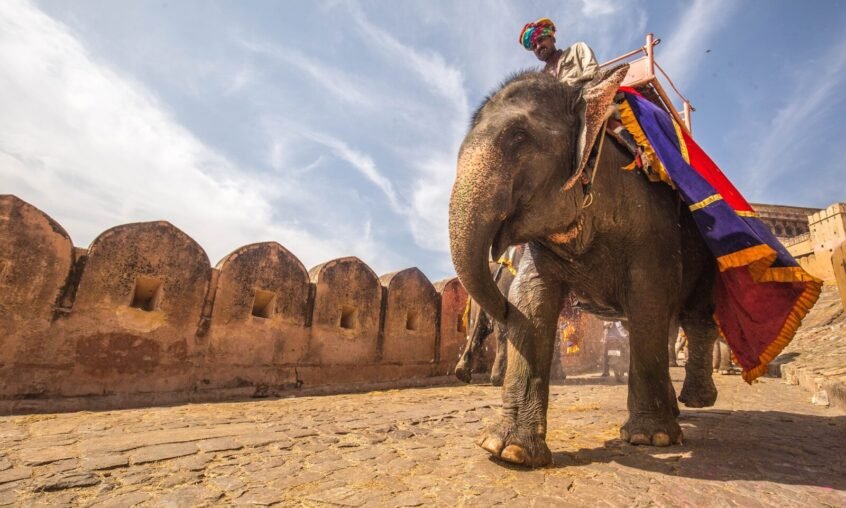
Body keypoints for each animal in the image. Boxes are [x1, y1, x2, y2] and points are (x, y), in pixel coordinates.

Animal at [448, 65, 720, 467]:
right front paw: (508, 451)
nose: (501, 306)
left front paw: (650, 439)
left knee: (695, 317)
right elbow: (531, 300)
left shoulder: (652, 226)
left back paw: (697, 401)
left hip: (705, 247)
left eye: (519, 137)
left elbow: (649, 298)